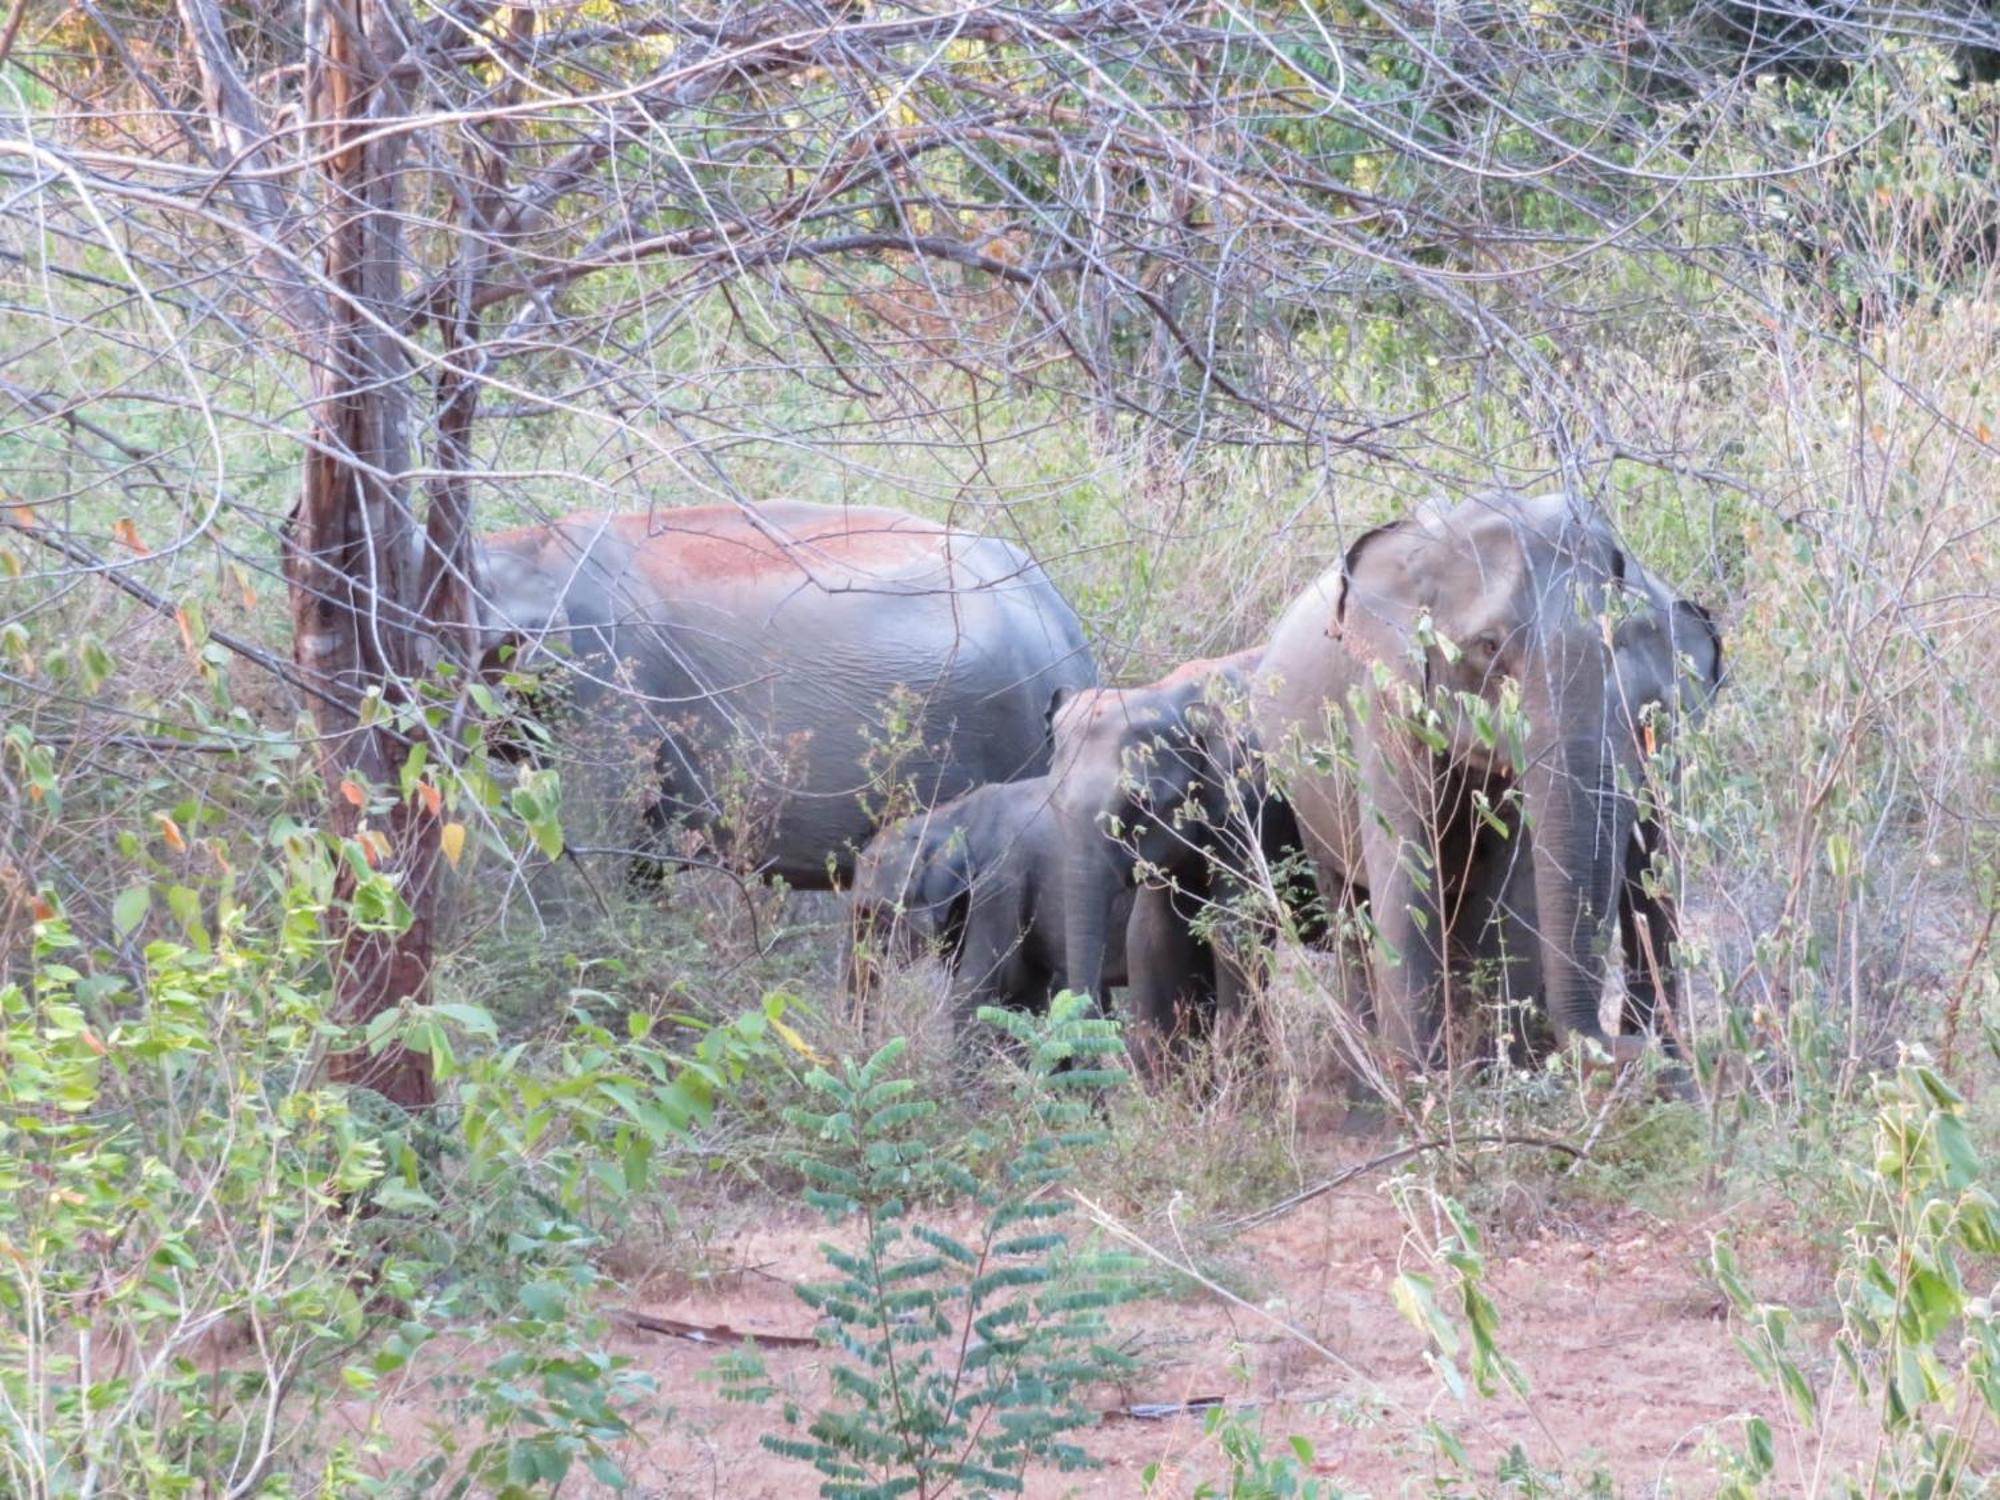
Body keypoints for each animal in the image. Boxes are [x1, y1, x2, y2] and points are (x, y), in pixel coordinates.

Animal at [1048, 652, 1312, 1072]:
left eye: (1138, 803)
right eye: (1051, 799)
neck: (1172, 692)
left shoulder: (1253, 806)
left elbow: (1238, 928)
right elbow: (1155, 937)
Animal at [1256, 500, 1728, 1072]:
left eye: (1615, 642)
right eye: (1487, 645)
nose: (1638, 1049)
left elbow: (1515, 884)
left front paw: (1503, 1066)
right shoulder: (1383, 698)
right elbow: (1406, 874)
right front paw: (1425, 1081)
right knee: (1345, 896)